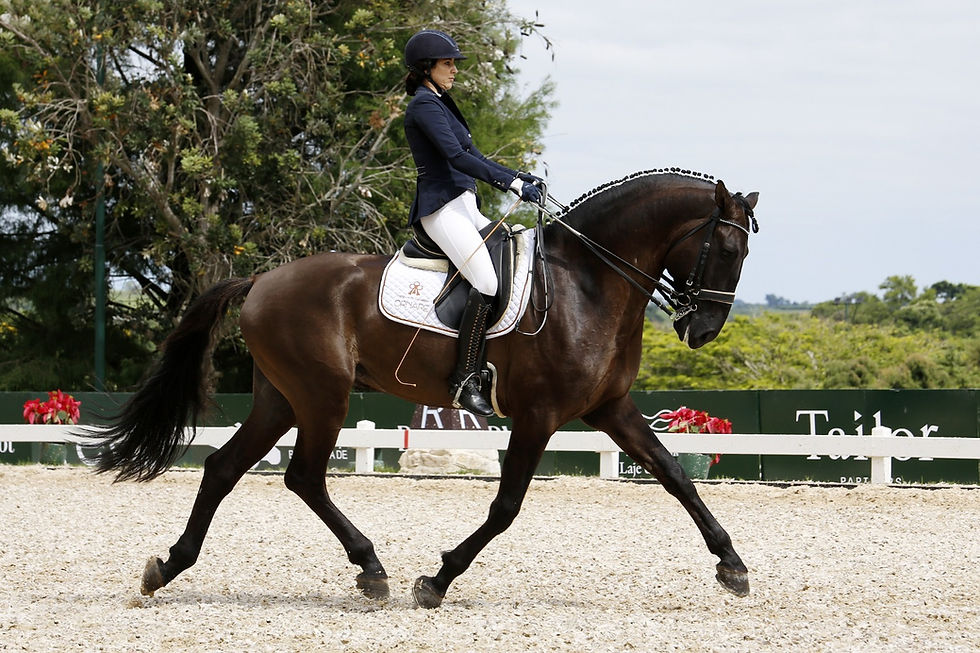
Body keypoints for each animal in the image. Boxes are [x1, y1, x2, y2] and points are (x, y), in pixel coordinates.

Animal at [90, 169, 759, 608]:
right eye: (726, 246)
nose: (703, 329)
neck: (589, 283)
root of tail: (261, 280)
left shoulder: (610, 408)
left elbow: (674, 474)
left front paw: (732, 565)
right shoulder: (539, 415)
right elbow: (506, 506)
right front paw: (436, 581)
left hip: (282, 398)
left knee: (225, 468)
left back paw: (167, 567)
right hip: (322, 396)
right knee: (302, 475)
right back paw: (372, 569)